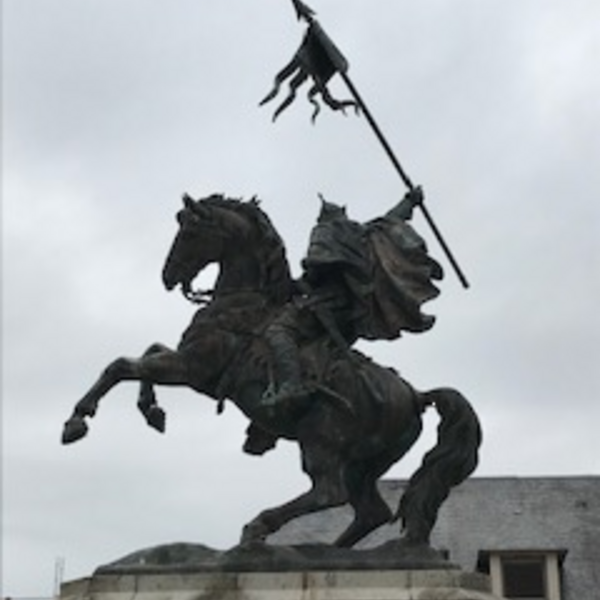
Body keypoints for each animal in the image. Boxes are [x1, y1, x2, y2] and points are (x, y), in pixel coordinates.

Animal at [62, 193, 482, 548]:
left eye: (191, 231)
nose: (168, 276)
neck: (241, 302)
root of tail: (416, 395)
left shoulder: (193, 369)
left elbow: (121, 365)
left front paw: (77, 421)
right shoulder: (188, 366)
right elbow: (146, 355)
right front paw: (152, 410)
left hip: (322, 438)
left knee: (328, 492)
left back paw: (260, 529)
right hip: (364, 462)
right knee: (368, 510)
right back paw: (332, 551)